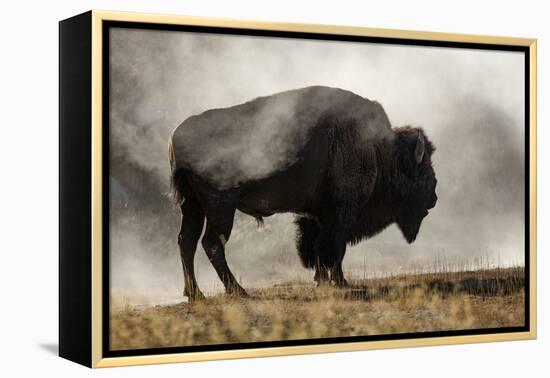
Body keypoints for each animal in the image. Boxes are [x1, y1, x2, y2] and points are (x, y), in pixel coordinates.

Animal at [170, 84, 438, 300]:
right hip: (221, 208)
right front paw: (340, 282)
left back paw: (195, 294)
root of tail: (176, 136)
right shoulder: (342, 212)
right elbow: (335, 247)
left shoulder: (318, 215)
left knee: (186, 241)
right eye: (423, 169)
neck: (379, 149)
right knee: (212, 243)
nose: (434, 197)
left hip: (193, 206)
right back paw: (238, 290)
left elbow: (319, 247)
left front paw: (323, 280)